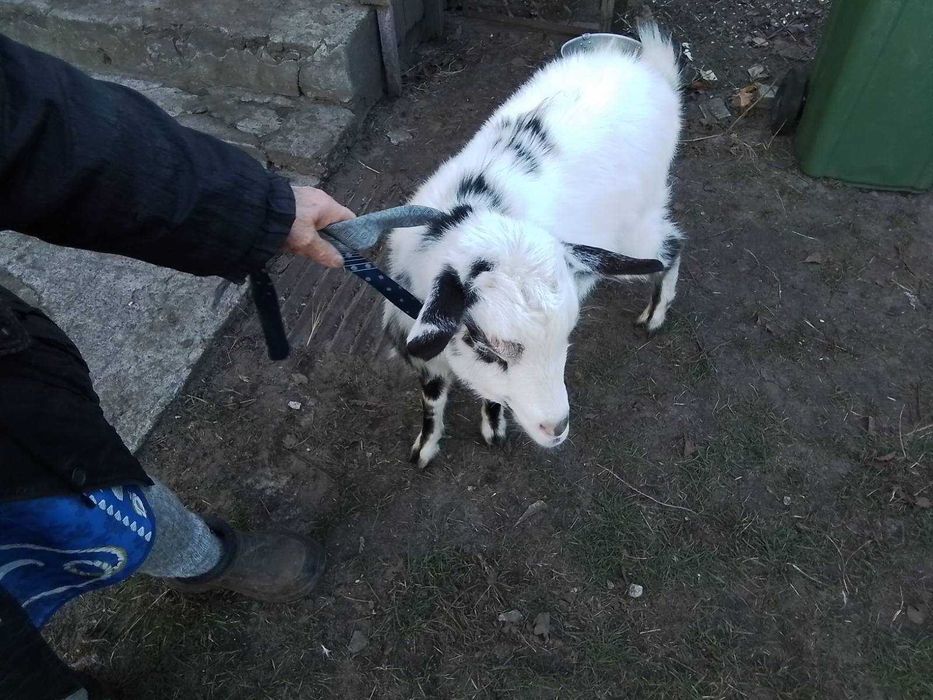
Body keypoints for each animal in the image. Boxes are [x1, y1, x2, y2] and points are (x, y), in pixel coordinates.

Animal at [383, 23, 684, 468]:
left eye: (567, 337)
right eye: (488, 348)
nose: (556, 428)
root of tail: (651, 67)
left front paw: (491, 429)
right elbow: (434, 398)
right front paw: (427, 446)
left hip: (637, 224)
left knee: (671, 247)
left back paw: (655, 316)